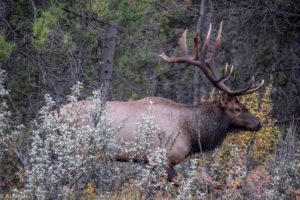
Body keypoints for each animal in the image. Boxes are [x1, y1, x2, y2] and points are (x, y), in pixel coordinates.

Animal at [59, 21, 264, 183]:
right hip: (77, 149)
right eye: (237, 108)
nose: (258, 123)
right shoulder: (161, 158)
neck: (191, 131)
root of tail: (58, 113)